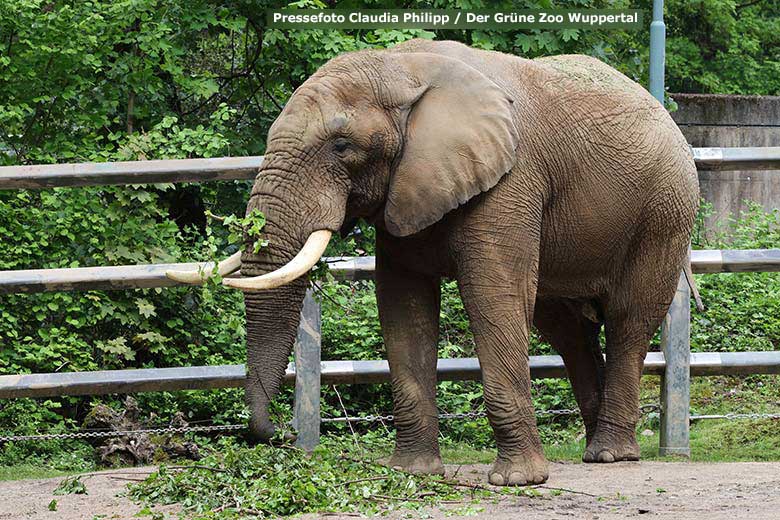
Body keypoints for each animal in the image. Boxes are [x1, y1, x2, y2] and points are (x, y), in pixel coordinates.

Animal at [169, 38, 700, 486]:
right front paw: (412, 472)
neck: (400, 68)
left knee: (629, 318)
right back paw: (594, 449)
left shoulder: (510, 181)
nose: (280, 435)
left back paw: (611, 455)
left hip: (665, 211)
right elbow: (402, 304)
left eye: (341, 147)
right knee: (567, 329)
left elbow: (494, 294)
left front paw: (516, 481)